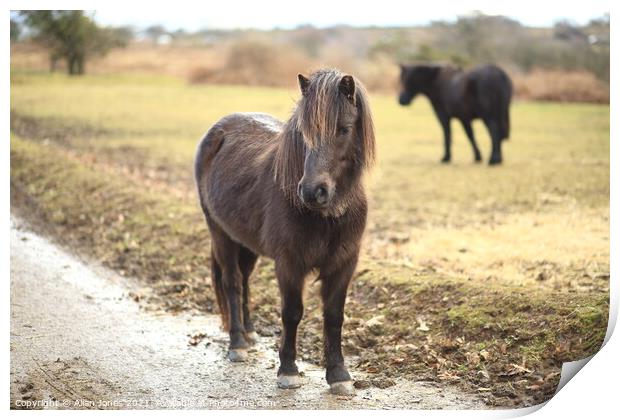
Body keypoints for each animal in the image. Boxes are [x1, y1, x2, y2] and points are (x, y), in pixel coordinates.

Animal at [196, 69, 376, 394]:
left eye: (343, 129)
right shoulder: (290, 264)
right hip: (221, 235)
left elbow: (334, 316)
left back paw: (250, 333)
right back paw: (238, 343)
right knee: (232, 282)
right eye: (303, 132)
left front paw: (339, 374)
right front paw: (288, 370)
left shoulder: (344, 264)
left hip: (247, 243)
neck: (326, 215)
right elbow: (292, 313)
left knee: (244, 280)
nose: (312, 192)